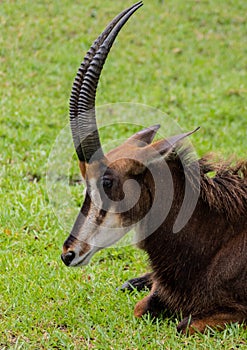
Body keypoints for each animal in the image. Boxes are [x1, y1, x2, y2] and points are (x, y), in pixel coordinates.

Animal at [60, 1, 247, 334]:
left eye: (106, 182)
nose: (69, 253)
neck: (216, 243)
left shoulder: (238, 312)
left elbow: (183, 325)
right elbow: (142, 307)